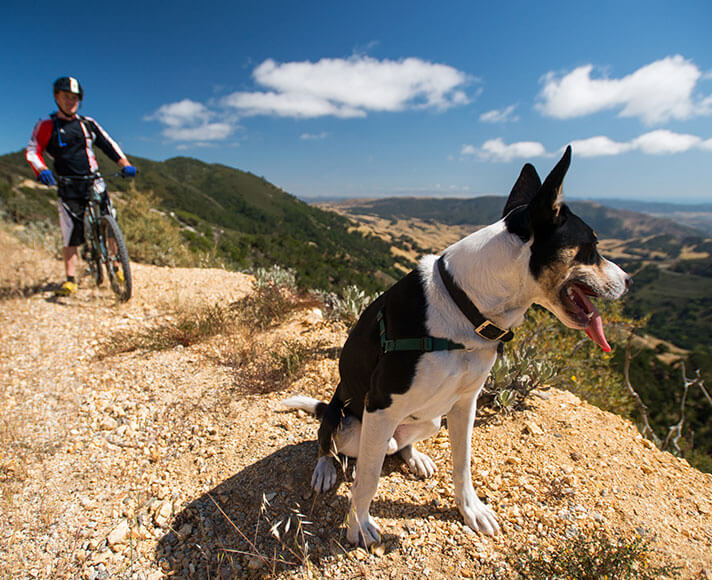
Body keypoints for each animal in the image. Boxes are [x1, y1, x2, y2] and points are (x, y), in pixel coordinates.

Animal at [280, 147, 632, 548]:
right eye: (592, 247)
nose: (629, 281)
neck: (465, 305)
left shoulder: (465, 403)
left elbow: (462, 464)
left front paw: (471, 510)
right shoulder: (381, 406)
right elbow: (367, 479)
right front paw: (358, 525)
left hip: (430, 420)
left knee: (399, 446)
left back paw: (414, 457)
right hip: (349, 422)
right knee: (327, 439)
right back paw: (325, 468)